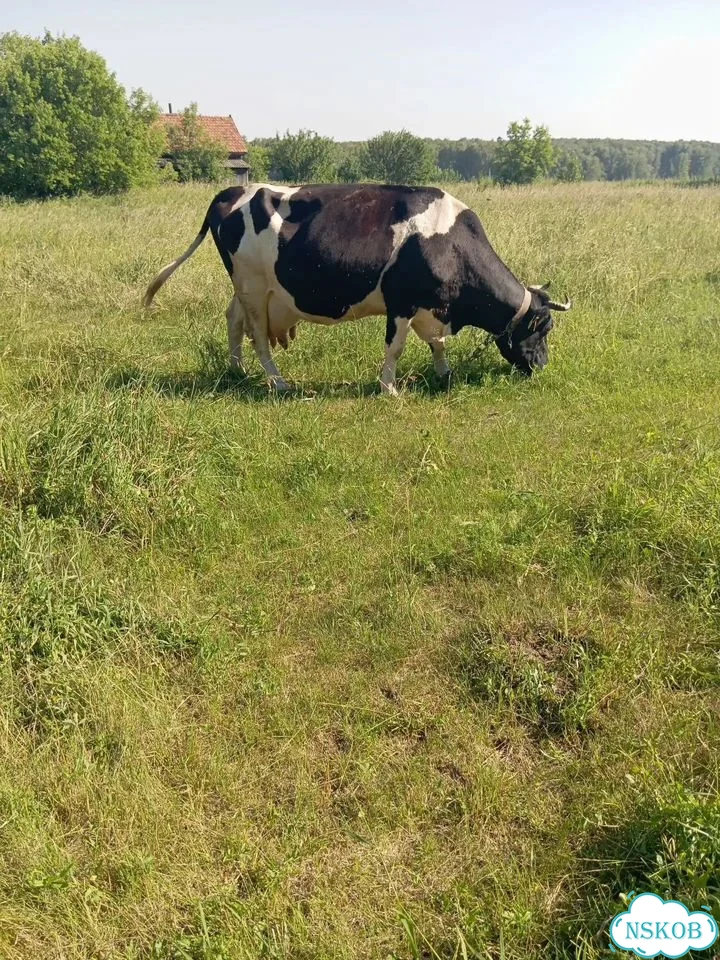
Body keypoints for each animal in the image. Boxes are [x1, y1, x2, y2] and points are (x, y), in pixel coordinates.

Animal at [143, 183, 572, 394]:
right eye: (545, 329)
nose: (542, 366)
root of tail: (231, 192)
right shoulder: (401, 303)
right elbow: (396, 348)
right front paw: (389, 387)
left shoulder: (429, 307)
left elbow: (437, 344)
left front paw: (444, 374)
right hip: (252, 284)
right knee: (258, 337)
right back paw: (277, 381)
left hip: (248, 288)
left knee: (233, 320)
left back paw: (237, 370)